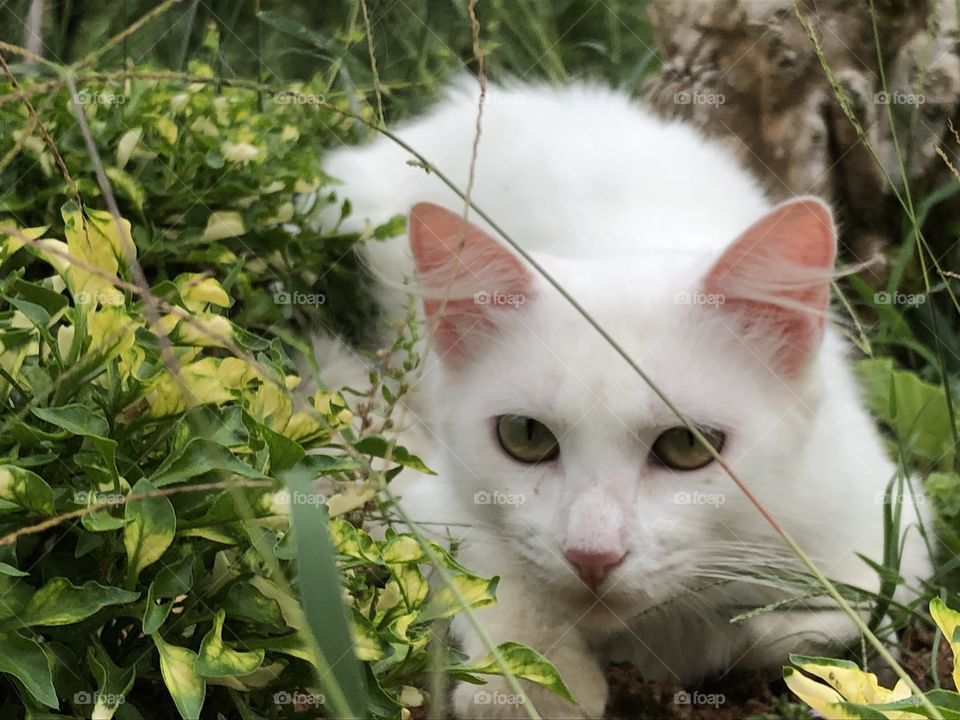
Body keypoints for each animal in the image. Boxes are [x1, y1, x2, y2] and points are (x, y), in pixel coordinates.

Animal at [320, 80, 928, 720]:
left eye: (688, 445)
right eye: (525, 437)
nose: (592, 555)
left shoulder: (892, 538)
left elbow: (785, 627)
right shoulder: (431, 497)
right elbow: (497, 571)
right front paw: (535, 685)